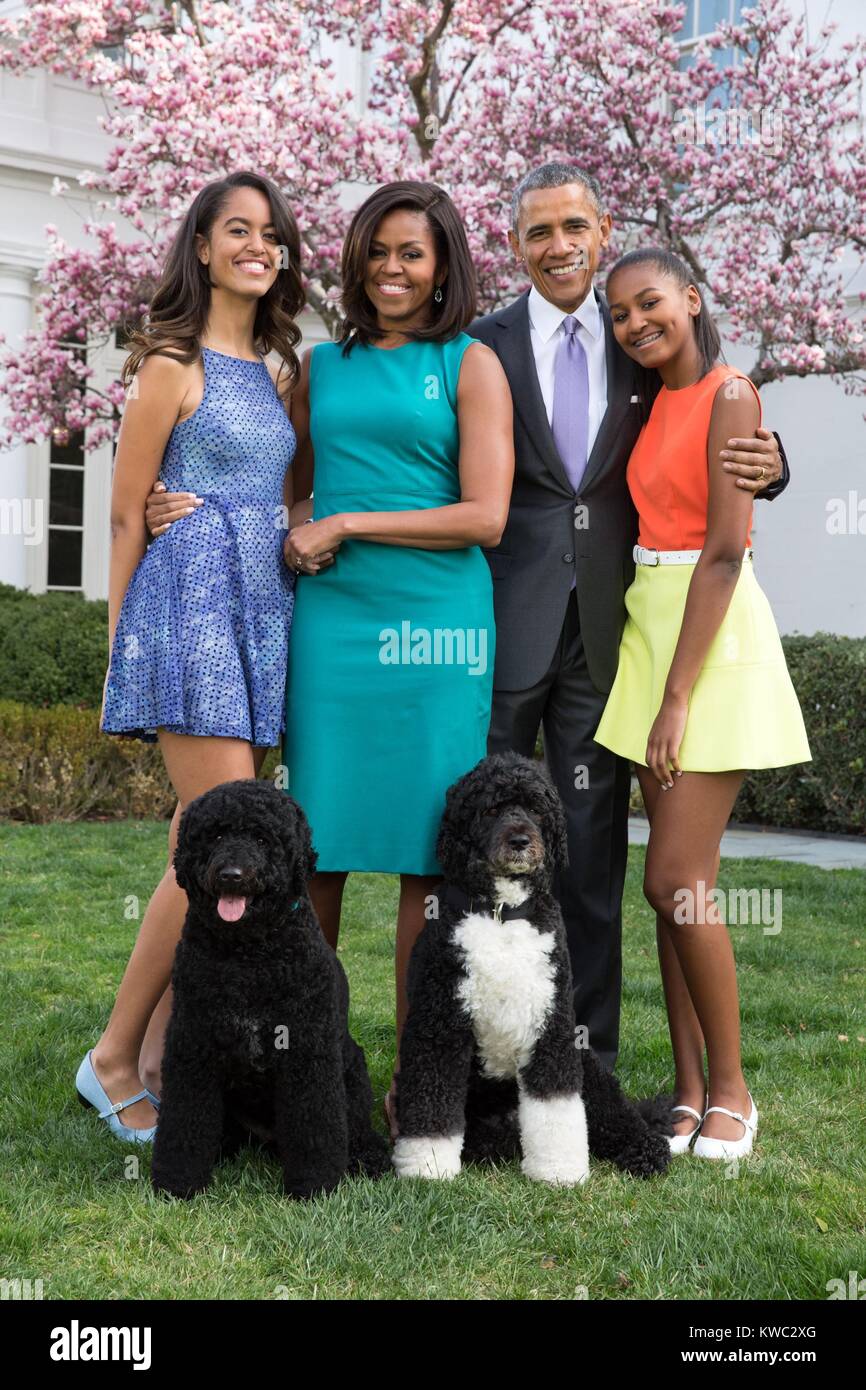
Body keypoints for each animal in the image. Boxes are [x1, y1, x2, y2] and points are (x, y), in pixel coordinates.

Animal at [151, 778, 389, 1200]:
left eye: (262, 839)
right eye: (216, 835)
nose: (231, 874)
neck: (248, 955)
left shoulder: (306, 1048)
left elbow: (315, 1125)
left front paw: (314, 1184)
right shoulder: (193, 1043)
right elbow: (185, 1119)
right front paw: (178, 1180)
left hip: (352, 1069)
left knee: (357, 1127)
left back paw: (369, 1157)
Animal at [394, 750, 678, 1184]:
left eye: (535, 809)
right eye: (492, 808)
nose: (520, 841)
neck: (502, 913)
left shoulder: (552, 1026)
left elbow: (555, 1104)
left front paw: (559, 1170)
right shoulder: (439, 1024)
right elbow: (432, 1102)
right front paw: (428, 1166)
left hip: (588, 1066)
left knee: (617, 1114)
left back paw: (645, 1149)